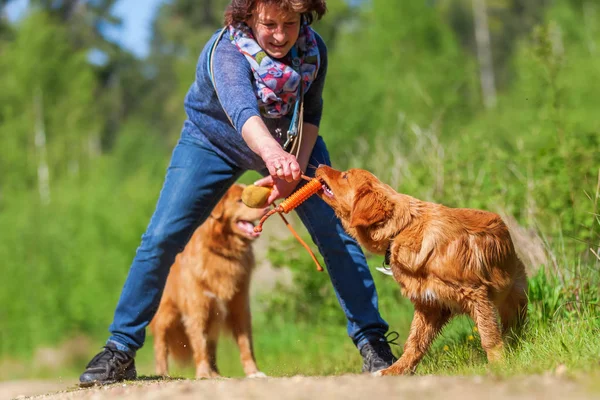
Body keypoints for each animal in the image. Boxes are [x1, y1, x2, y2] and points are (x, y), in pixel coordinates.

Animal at [150, 184, 270, 378]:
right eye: (239, 200)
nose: (267, 207)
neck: (223, 253)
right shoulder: (197, 309)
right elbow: (199, 344)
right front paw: (203, 374)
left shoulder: (239, 307)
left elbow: (245, 344)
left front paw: (253, 371)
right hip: (166, 315)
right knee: (161, 345)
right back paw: (164, 373)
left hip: (214, 318)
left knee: (211, 347)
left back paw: (216, 374)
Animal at [316, 165, 528, 376]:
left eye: (345, 176)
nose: (319, 166)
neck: (401, 230)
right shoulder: (429, 305)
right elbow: (414, 343)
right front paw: (396, 369)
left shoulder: (477, 295)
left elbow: (488, 335)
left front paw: (499, 366)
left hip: (514, 296)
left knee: (514, 326)